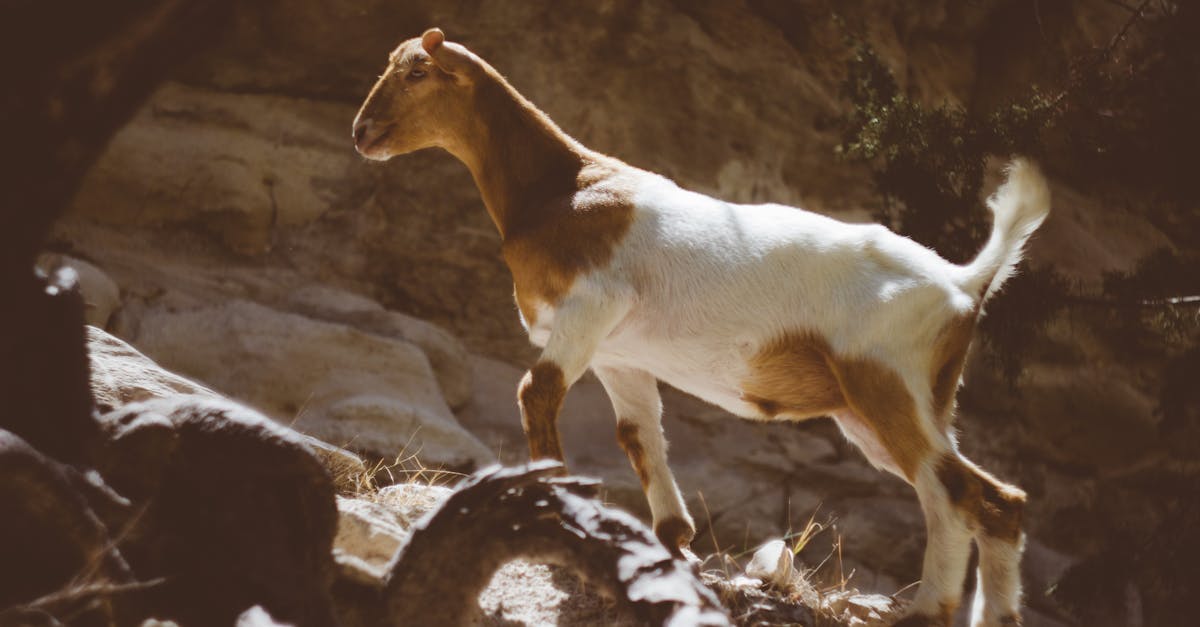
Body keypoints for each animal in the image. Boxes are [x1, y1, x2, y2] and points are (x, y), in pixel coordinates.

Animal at [353, 29, 1050, 627]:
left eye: (417, 72)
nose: (362, 131)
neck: (562, 187)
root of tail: (964, 281)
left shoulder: (589, 308)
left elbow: (537, 393)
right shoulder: (619, 354)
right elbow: (639, 435)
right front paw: (674, 541)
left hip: (886, 383)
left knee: (956, 495)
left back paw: (926, 609)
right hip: (897, 404)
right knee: (995, 503)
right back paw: (995, 613)